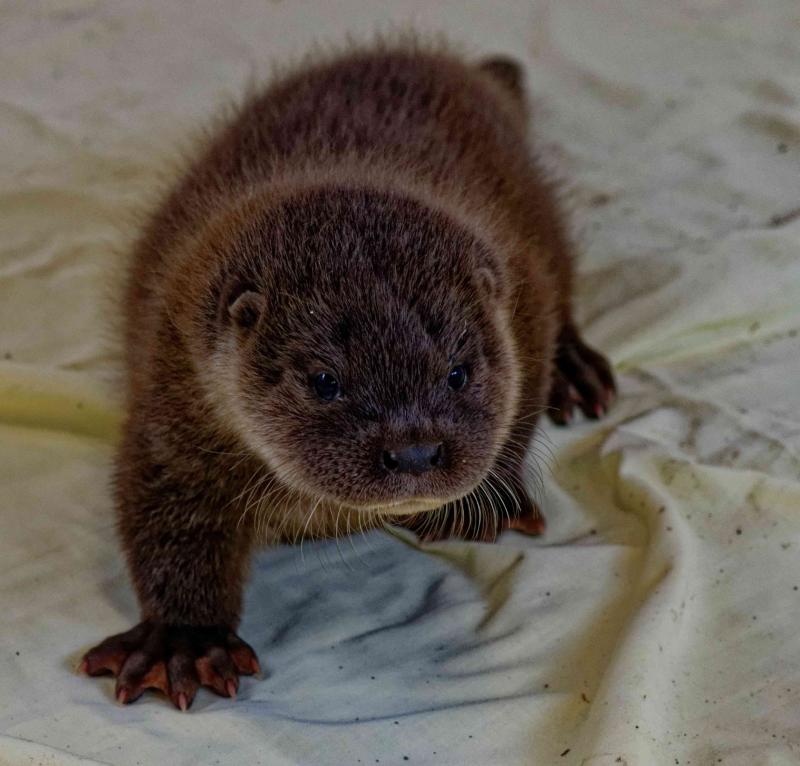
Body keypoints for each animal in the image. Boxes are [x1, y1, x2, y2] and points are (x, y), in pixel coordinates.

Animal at [80, 41, 615, 710]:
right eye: (324, 381)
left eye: (458, 373)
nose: (415, 452)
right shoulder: (172, 371)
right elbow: (163, 503)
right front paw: (183, 639)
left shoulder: (524, 292)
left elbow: (529, 376)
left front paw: (477, 506)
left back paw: (578, 373)